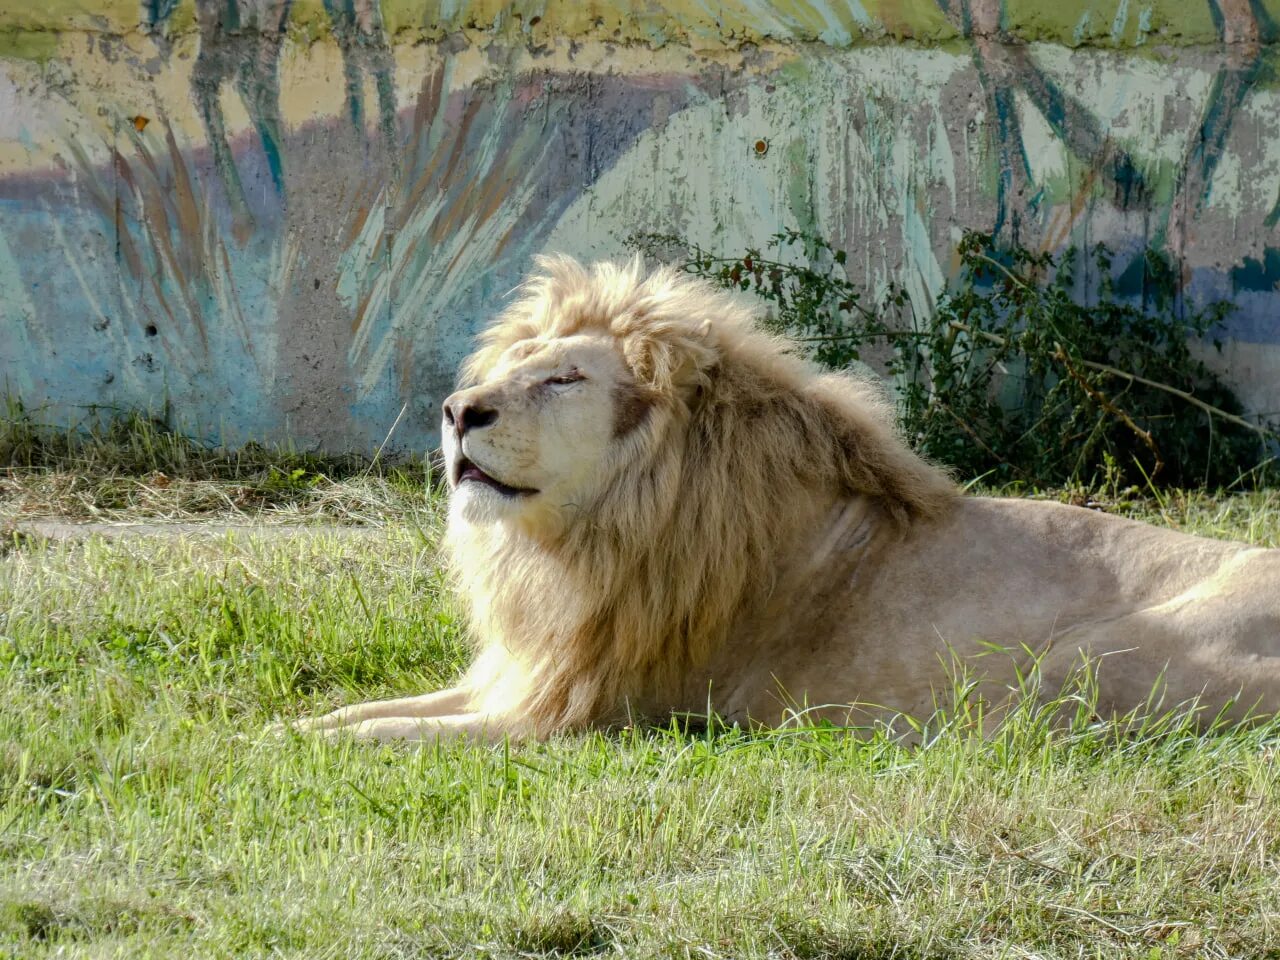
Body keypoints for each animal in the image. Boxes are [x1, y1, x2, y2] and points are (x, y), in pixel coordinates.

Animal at [294, 256, 1280, 742]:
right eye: (508, 369)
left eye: (564, 377)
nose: (459, 410)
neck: (578, 544)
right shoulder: (521, 675)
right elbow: (373, 711)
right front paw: (282, 731)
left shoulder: (595, 716)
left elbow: (395, 739)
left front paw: (314, 750)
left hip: (1084, 658)